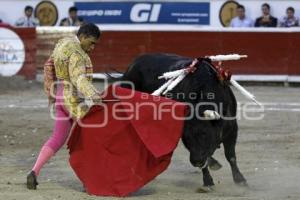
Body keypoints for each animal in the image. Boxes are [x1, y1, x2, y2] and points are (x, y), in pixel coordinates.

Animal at [112, 53, 246, 188]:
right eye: (187, 137)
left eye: (205, 134)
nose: (196, 161)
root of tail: (131, 67)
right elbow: (206, 159)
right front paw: (208, 181)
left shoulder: (232, 129)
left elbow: (230, 156)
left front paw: (240, 180)